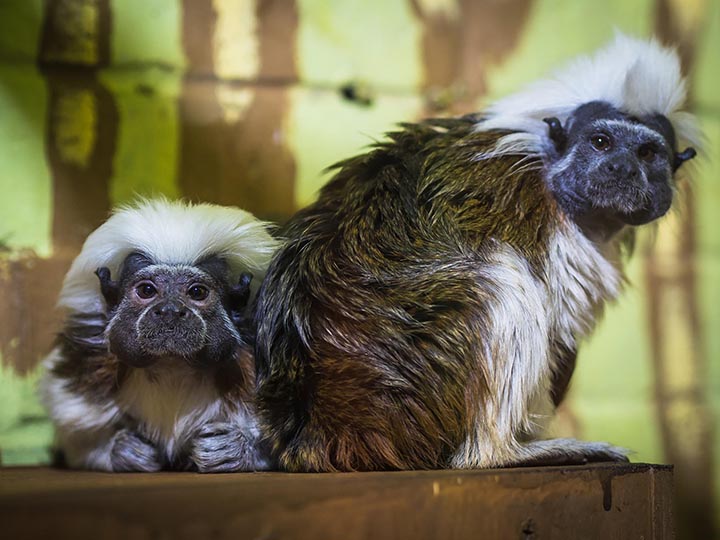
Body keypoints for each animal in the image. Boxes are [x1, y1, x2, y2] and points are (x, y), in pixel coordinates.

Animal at [40, 199, 278, 472]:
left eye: (197, 292)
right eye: (146, 290)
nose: (170, 311)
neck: (172, 367)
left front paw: (236, 451)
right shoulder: (86, 368)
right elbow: (80, 443)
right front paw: (122, 451)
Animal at [252, 34, 696, 472]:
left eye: (647, 153)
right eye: (601, 143)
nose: (621, 168)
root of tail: (323, 426)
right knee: (500, 283)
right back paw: (504, 452)